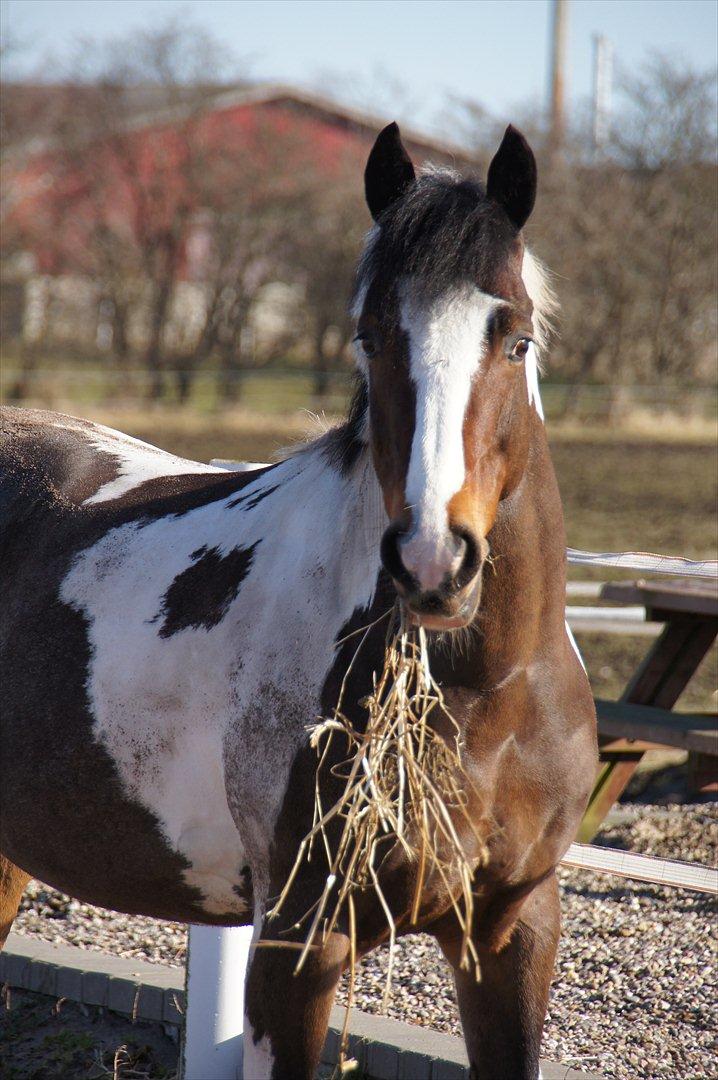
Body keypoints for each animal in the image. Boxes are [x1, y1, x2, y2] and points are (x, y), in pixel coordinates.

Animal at [0, 122, 591, 1075]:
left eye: (517, 339)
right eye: (371, 336)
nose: (433, 561)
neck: (490, 696)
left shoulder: (513, 933)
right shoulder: (296, 946)